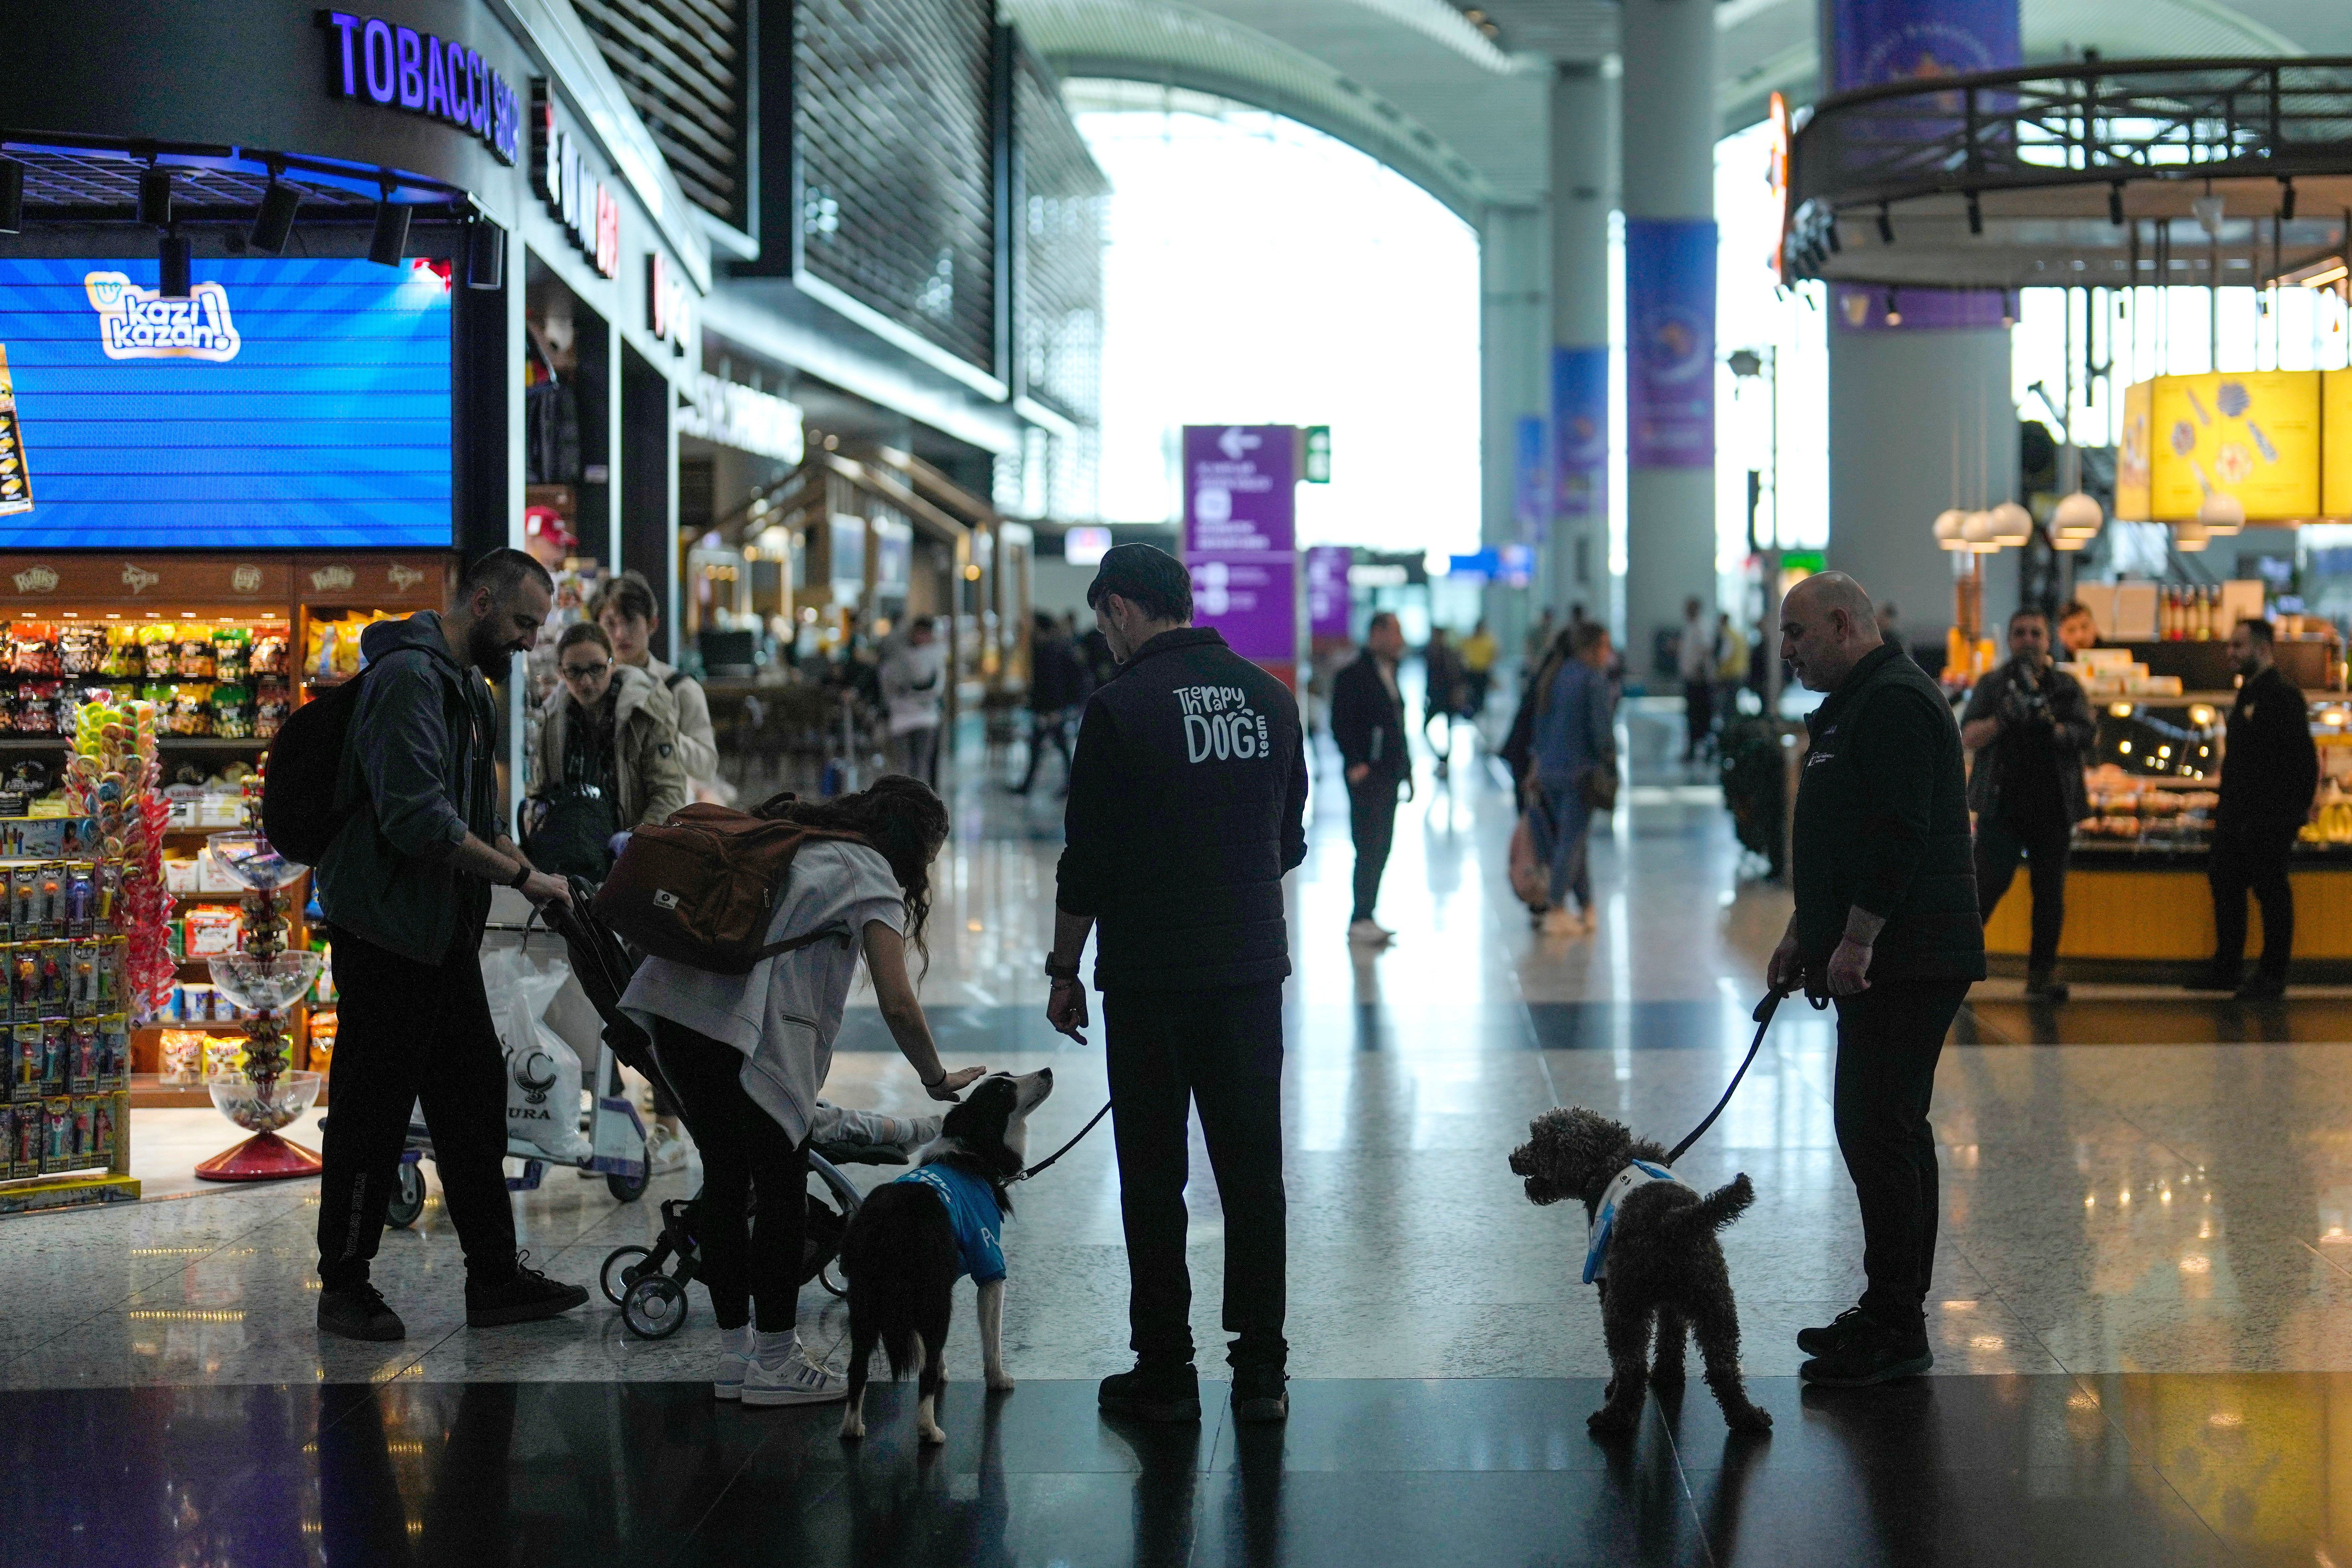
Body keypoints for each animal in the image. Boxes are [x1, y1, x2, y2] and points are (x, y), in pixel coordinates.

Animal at [842, 1067, 1053, 1448]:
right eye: (1005, 1089)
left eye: (1009, 1075)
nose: (1047, 1071)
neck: (973, 1150)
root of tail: (884, 1222)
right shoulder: (989, 1262)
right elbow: (992, 1336)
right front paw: (998, 1378)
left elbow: (932, 1351)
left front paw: (945, 1369)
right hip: (933, 1300)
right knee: (922, 1376)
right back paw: (930, 1430)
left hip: (864, 1300)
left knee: (857, 1368)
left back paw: (852, 1428)